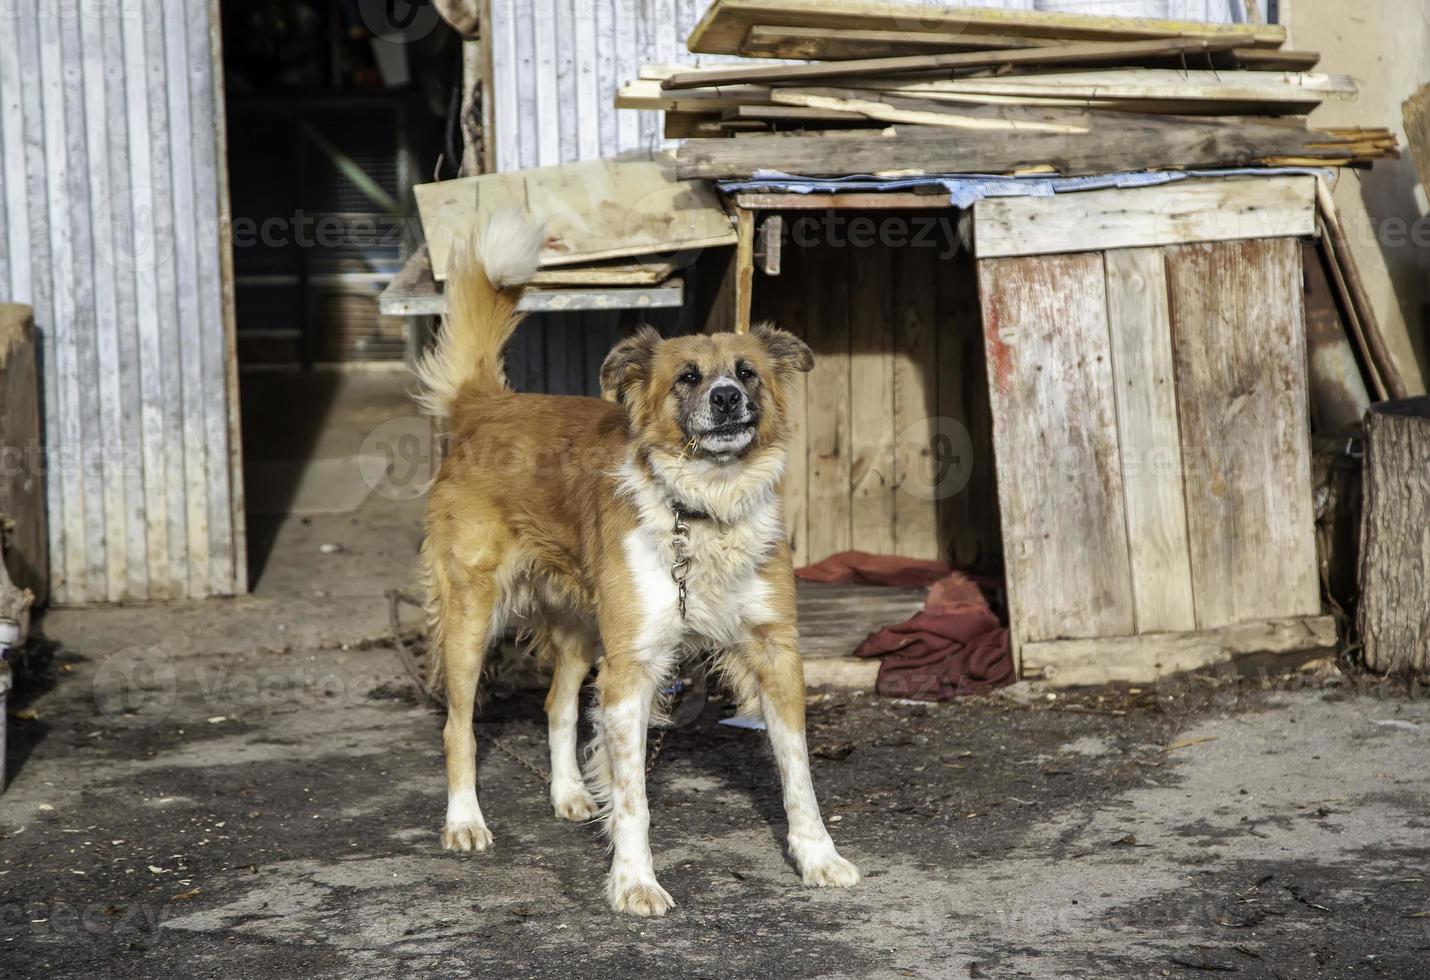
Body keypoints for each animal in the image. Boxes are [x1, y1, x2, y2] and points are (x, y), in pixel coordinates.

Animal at [414, 210, 857, 915]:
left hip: (581, 625)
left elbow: (799, 776)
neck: (702, 509)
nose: (727, 399)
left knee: (558, 705)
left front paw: (818, 858)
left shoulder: (776, 652)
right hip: (471, 617)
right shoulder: (633, 669)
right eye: (688, 378)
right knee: (459, 725)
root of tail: (489, 405)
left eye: (747, 372)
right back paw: (465, 820)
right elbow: (634, 800)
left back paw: (568, 793)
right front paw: (634, 881)